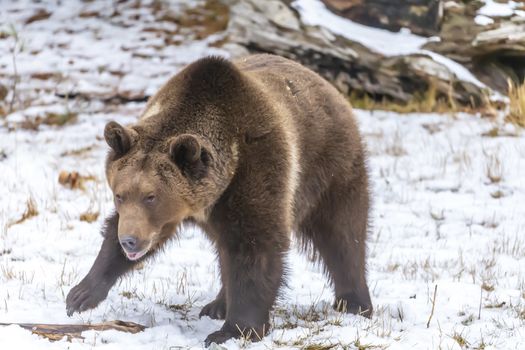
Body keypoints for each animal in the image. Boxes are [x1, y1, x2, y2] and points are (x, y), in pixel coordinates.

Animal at [66, 54, 372, 344]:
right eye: (119, 194)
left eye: (151, 196)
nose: (129, 240)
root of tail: (328, 87)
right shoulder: (175, 213)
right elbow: (117, 232)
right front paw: (80, 294)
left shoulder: (257, 170)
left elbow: (256, 247)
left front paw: (233, 330)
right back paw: (217, 305)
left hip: (329, 167)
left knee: (342, 234)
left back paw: (355, 302)